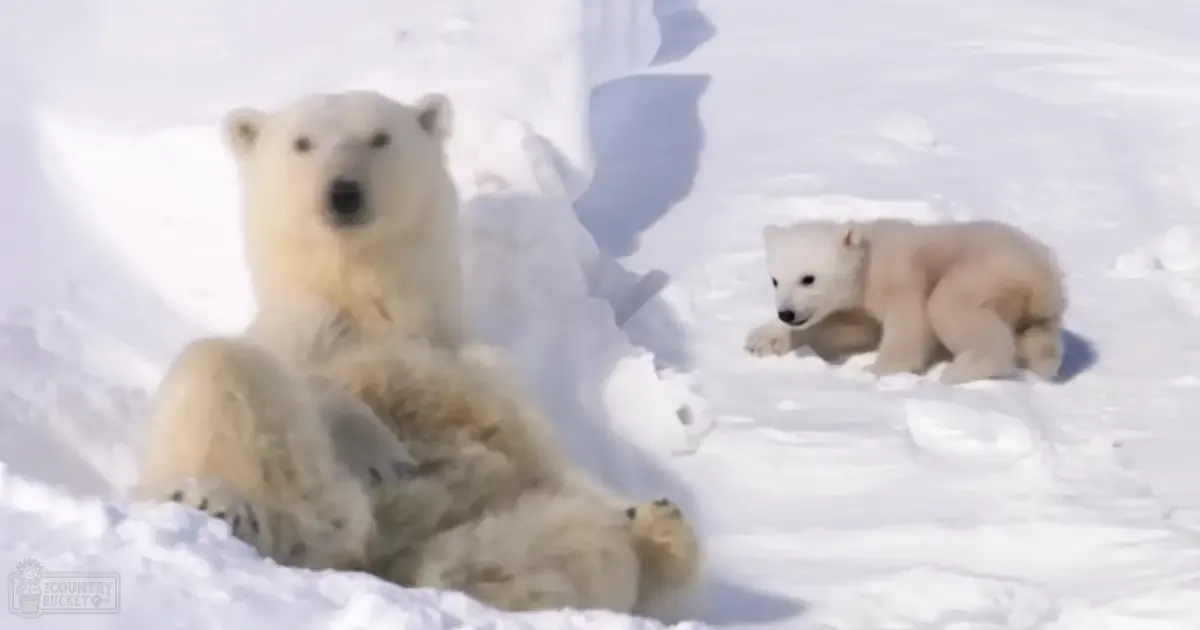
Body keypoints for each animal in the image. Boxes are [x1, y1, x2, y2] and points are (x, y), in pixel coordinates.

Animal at [134, 88, 703, 620]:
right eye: (302, 143)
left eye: (379, 137)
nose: (343, 192)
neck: (367, 307)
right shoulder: (297, 335)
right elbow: (313, 380)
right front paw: (377, 448)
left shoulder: (481, 366)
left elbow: (549, 457)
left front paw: (650, 512)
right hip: (317, 490)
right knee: (219, 370)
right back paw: (218, 501)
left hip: (479, 527)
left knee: (548, 549)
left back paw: (656, 527)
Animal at [743, 217, 1067, 385]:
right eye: (775, 280)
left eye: (808, 278)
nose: (786, 313)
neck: (866, 259)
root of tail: (1044, 271)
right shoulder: (858, 307)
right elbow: (851, 329)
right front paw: (762, 340)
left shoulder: (899, 275)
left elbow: (909, 325)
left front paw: (876, 371)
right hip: (1036, 308)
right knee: (1039, 338)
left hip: (986, 270)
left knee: (949, 306)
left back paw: (960, 370)